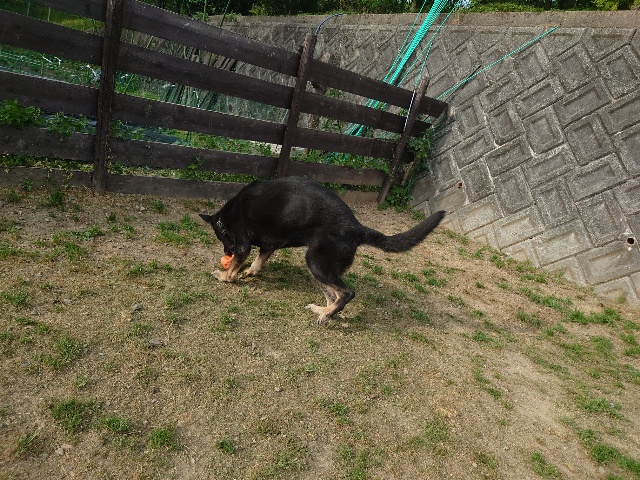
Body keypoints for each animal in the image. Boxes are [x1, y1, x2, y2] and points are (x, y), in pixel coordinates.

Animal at [199, 176, 445, 324]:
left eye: (222, 238)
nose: (226, 252)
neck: (227, 217)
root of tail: (355, 227)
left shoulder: (243, 244)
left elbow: (233, 270)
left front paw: (224, 275)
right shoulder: (269, 245)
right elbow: (259, 261)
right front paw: (250, 272)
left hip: (315, 262)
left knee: (347, 293)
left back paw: (326, 313)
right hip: (320, 269)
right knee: (334, 294)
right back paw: (324, 311)